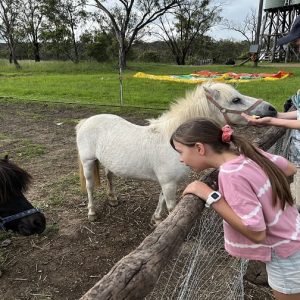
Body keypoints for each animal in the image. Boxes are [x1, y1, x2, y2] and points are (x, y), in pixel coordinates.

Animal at [77, 82, 276, 225]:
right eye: (235, 100)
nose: (272, 109)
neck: (171, 141)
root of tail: (85, 121)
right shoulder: (169, 183)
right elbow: (171, 208)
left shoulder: (167, 182)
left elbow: (161, 199)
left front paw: (156, 220)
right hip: (88, 162)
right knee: (89, 186)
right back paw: (92, 213)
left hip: (107, 162)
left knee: (109, 176)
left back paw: (112, 199)